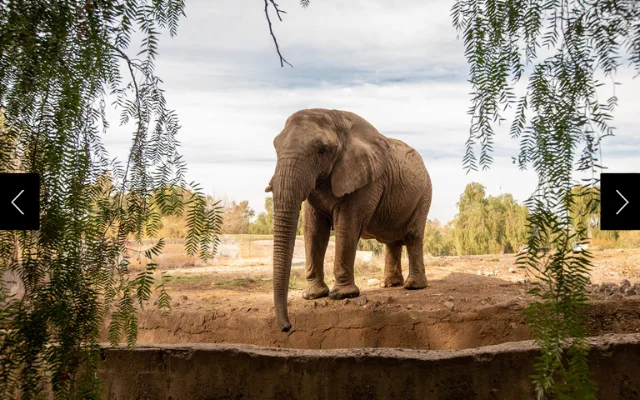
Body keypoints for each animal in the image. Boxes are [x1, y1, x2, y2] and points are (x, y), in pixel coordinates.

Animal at [266, 108, 432, 332]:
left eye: (322, 150)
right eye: (275, 146)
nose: (287, 327)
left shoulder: (367, 180)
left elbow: (347, 224)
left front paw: (344, 295)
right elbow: (313, 230)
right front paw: (313, 296)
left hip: (424, 194)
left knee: (413, 235)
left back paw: (413, 286)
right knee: (392, 242)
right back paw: (388, 285)